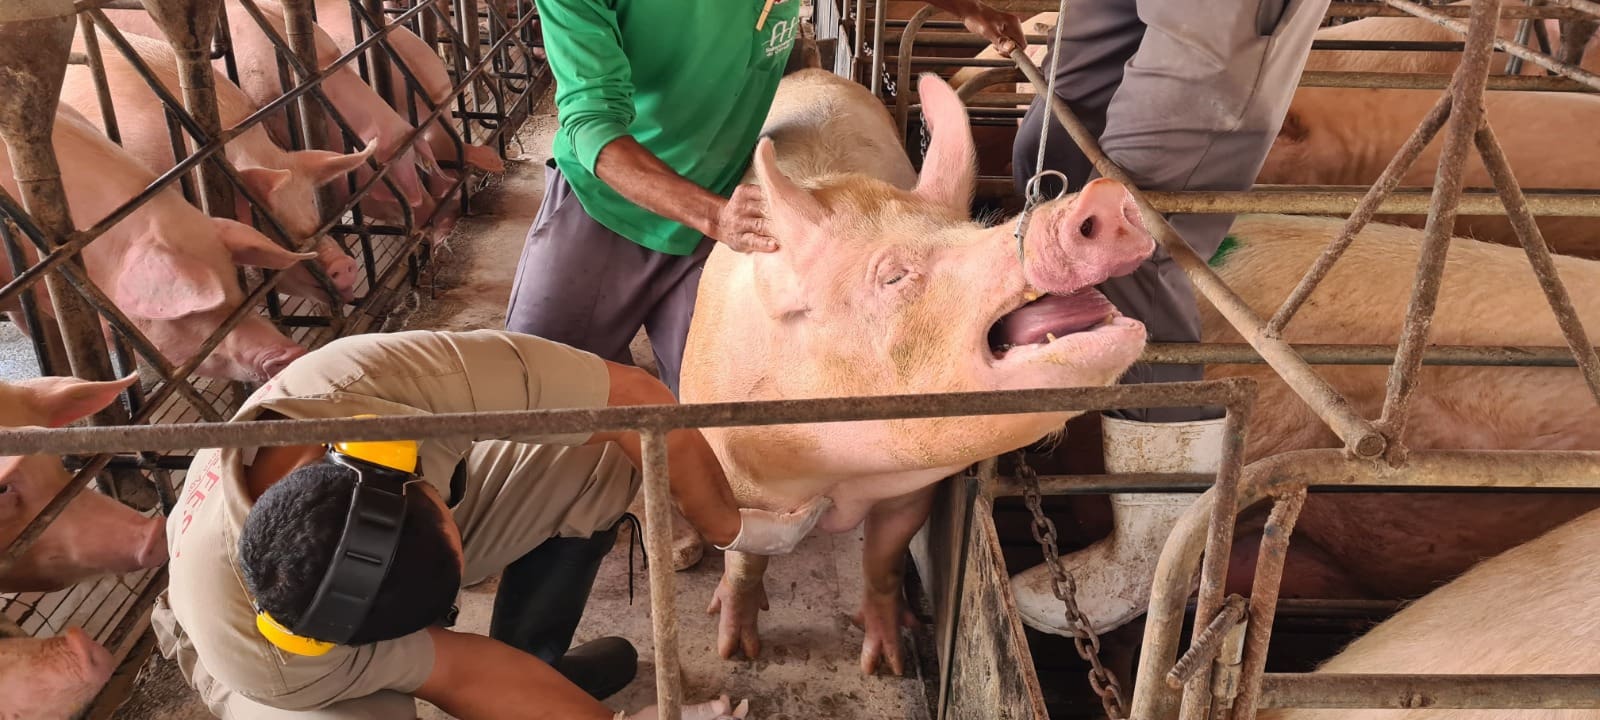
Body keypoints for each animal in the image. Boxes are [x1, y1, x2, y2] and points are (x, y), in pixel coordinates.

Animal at [681, 68, 1158, 675]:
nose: (1103, 197)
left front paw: (885, 663)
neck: (843, 466)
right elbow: (745, 560)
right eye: (893, 276)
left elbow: (884, 560)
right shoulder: (736, 477)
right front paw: (737, 654)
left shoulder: (913, 491)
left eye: (974, 226)